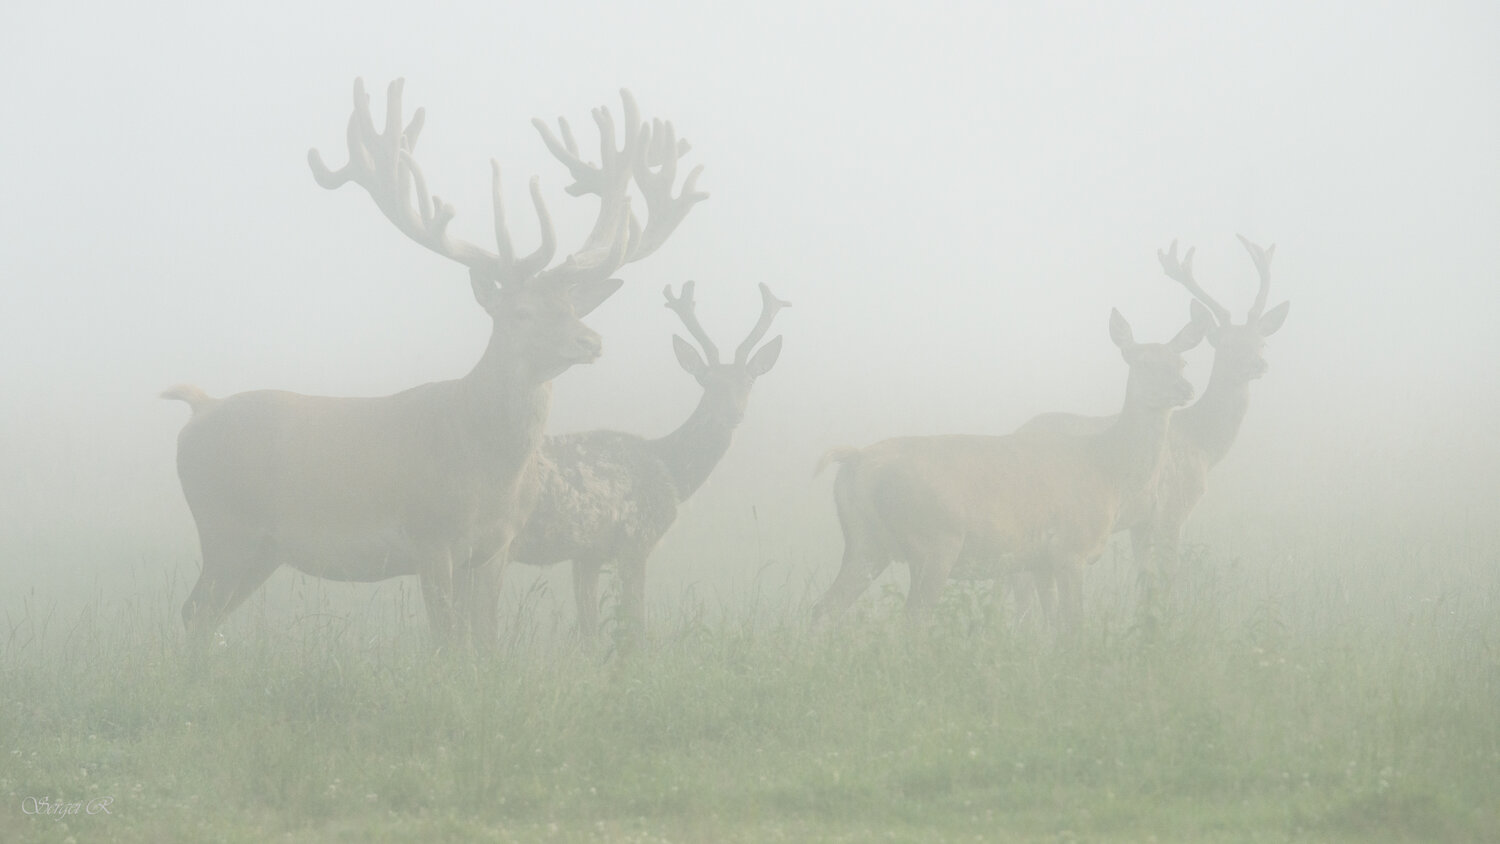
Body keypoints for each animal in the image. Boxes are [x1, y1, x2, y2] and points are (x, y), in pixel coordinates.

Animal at [163, 78, 705, 648]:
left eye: (574, 307)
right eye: (521, 312)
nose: (591, 341)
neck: (485, 468)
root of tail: (198, 410)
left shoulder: (495, 548)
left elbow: (483, 641)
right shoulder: (430, 537)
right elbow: (448, 643)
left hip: (262, 549)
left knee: (204, 614)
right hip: (225, 527)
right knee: (193, 611)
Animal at [506, 281, 788, 643]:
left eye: (749, 381)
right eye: (707, 381)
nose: (732, 414)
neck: (669, 469)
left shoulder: (587, 554)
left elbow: (589, 634)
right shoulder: (636, 539)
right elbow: (636, 629)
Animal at [810, 309, 1207, 627]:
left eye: (1182, 363)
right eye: (1139, 361)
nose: (1185, 389)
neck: (1109, 470)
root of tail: (855, 461)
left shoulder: (1041, 562)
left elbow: (1054, 627)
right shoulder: (1072, 549)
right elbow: (1075, 627)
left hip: (866, 543)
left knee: (824, 609)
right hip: (934, 541)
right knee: (912, 620)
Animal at [1018, 236, 1288, 597]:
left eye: (1262, 343)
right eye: (1226, 344)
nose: (1258, 365)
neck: (1202, 444)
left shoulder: (1142, 522)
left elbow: (1145, 579)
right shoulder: (1172, 509)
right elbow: (1167, 578)